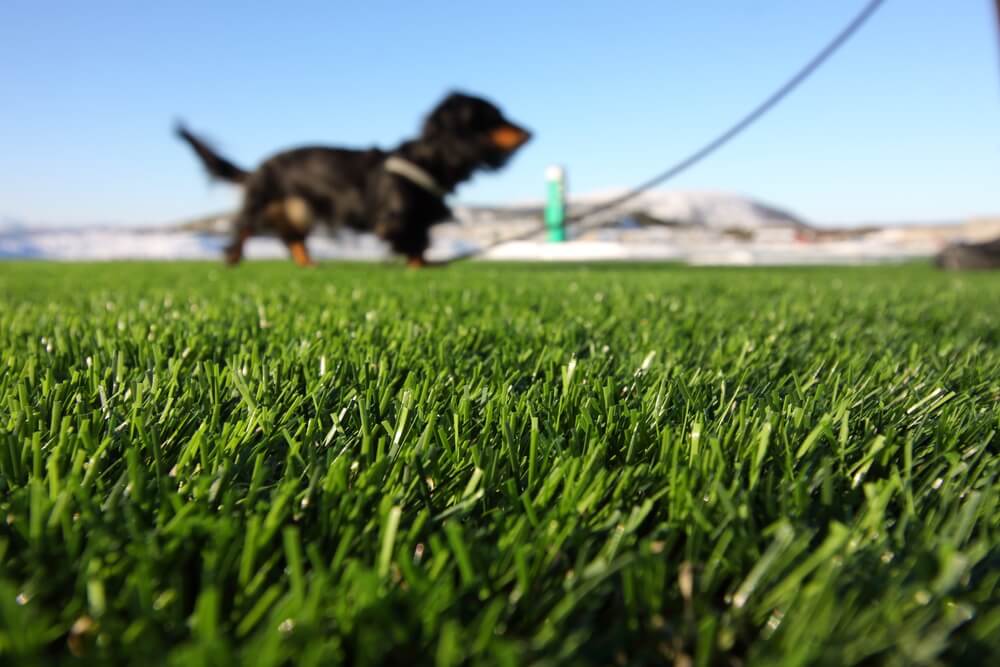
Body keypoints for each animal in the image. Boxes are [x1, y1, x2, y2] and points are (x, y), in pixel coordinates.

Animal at [176, 92, 532, 268]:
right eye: (496, 116)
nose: (530, 132)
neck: (428, 159)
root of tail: (259, 167)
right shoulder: (398, 220)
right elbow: (414, 246)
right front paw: (420, 268)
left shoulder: (418, 219)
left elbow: (420, 245)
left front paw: (425, 266)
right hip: (262, 203)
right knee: (242, 229)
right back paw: (233, 260)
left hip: (298, 210)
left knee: (293, 240)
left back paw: (309, 264)